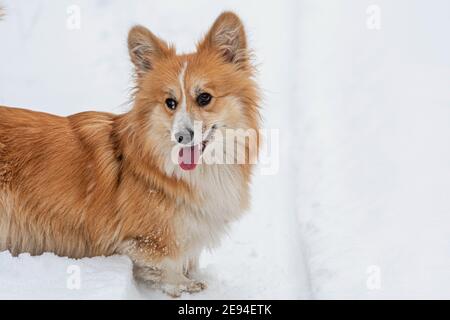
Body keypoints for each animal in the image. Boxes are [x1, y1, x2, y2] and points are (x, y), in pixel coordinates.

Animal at [0, 12, 260, 298]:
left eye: (204, 98)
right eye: (170, 103)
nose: (181, 137)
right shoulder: (148, 240)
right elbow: (166, 265)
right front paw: (184, 285)